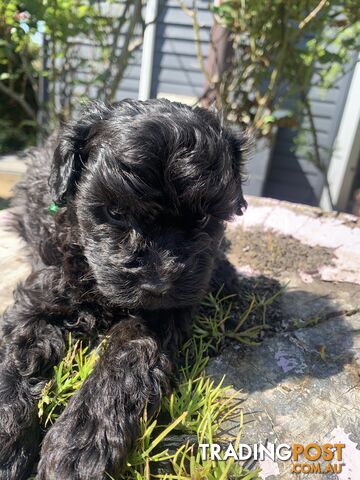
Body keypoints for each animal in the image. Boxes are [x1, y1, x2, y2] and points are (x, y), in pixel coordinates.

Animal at [0, 99, 248, 478]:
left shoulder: (162, 314)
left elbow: (127, 357)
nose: (158, 283)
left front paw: (79, 444)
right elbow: (15, 354)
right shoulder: (41, 293)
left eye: (205, 219)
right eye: (115, 213)